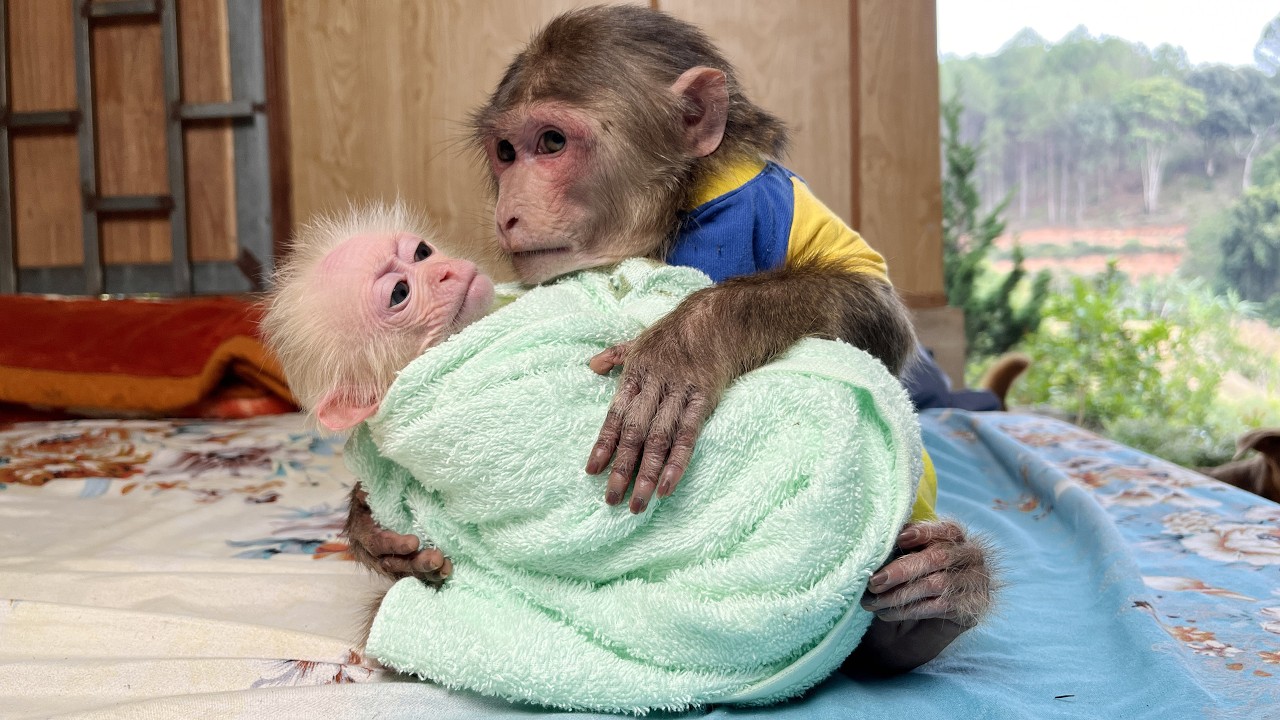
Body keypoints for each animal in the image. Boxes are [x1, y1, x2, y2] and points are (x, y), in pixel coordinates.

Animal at [341, 5, 994, 674]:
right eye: (505, 152)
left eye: (551, 143)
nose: (509, 212)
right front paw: (372, 530)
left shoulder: (768, 194)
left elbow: (879, 314)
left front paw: (683, 346)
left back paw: (939, 593)